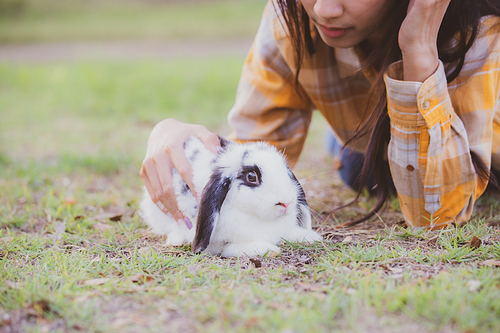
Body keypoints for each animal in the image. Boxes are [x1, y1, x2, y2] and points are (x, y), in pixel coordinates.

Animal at [139, 135, 322, 256]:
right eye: (251, 176)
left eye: (286, 170)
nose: (286, 203)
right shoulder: (219, 245)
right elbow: (231, 248)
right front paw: (269, 249)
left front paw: (311, 237)